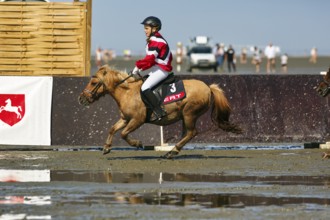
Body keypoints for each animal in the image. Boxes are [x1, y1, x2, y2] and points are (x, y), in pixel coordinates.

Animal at [78, 65, 241, 158]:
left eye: (94, 82)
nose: (81, 98)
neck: (128, 92)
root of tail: (208, 87)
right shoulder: (125, 119)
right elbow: (112, 129)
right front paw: (106, 147)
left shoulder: (137, 120)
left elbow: (123, 134)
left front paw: (138, 143)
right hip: (185, 116)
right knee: (187, 134)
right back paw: (173, 150)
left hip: (189, 114)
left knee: (191, 133)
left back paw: (172, 152)